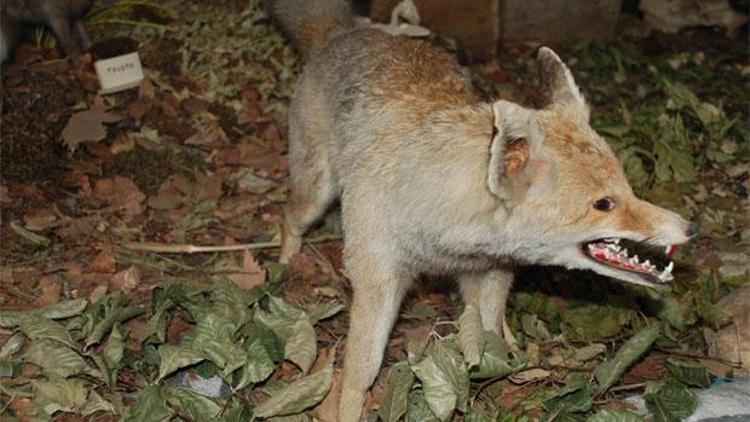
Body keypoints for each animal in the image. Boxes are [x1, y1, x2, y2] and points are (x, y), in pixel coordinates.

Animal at [268, 0, 700, 418]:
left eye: (628, 189)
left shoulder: (489, 275)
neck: (442, 232)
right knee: (289, 218)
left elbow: (487, 341)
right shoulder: (378, 281)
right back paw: (285, 268)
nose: (691, 229)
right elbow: (361, 373)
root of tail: (347, 32)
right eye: (604, 204)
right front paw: (349, 409)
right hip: (316, 195)